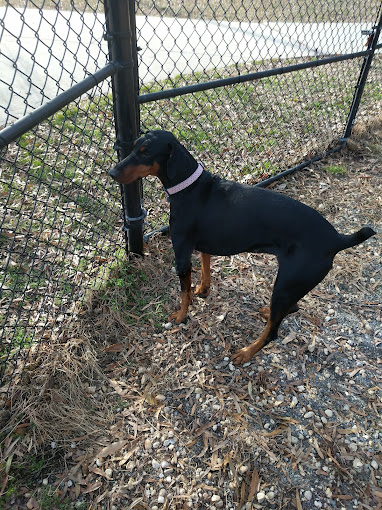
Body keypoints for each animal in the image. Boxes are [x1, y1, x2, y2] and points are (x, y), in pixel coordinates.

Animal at [108, 131, 376, 362]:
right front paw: (202, 290)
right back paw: (268, 313)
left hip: (287, 283)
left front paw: (181, 315)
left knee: (273, 333)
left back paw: (246, 353)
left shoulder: (181, 252)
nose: (111, 172)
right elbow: (205, 270)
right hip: (291, 285)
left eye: (145, 153)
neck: (189, 187)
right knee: (292, 308)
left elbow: (183, 292)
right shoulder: (204, 245)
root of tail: (336, 239)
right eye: (134, 147)